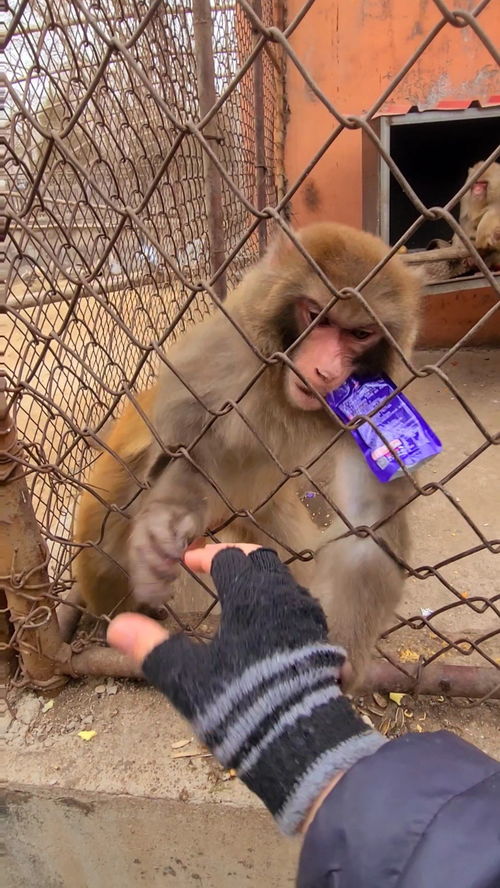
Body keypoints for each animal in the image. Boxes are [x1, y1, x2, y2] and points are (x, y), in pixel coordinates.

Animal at [75, 222, 422, 688]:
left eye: (360, 333)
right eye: (315, 314)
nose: (326, 371)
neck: (279, 388)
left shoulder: (373, 405)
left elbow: (368, 520)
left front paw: (342, 659)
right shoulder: (225, 353)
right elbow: (187, 448)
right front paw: (165, 523)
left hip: (260, 512)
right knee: (102, 556)